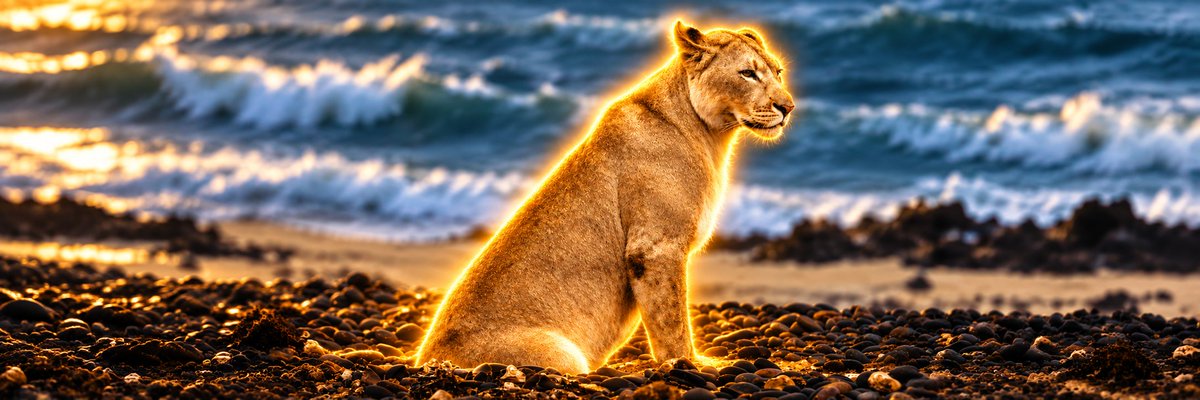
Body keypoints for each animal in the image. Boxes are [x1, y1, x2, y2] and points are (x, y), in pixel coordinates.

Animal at [416, 20, 795, 374]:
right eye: (747, 73)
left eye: (777, 72)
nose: (788, 107)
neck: (711, 137)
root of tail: (425, 361)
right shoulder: (655, 247)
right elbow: (671, 321)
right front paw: (692, 364)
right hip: (562, 354)